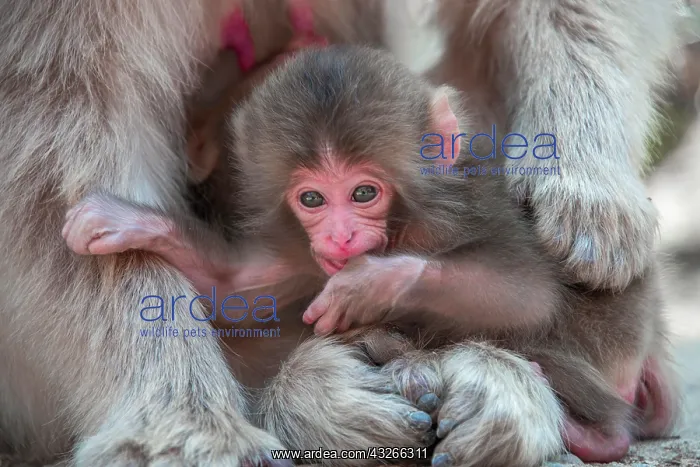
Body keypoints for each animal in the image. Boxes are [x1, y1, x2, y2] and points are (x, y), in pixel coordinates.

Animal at [0, 0, 680, 464]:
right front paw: (184, 421)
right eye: (311, 198)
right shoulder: (294, 250)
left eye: (364, 193)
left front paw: (585, 181)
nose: (343, 240)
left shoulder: (450, 212)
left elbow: (523, 288)